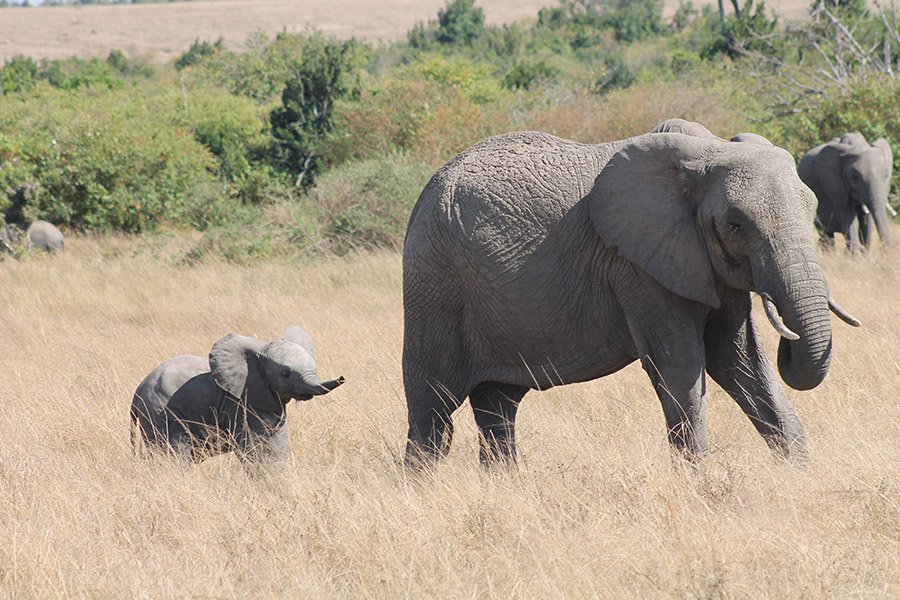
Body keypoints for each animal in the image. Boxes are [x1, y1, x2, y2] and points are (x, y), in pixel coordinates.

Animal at [131, 325, 344, 462]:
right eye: (285, 374)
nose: (342, 377)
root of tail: (136, 393)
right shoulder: (241, 404)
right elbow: (259, 448)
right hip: (160, 413)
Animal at [402, 123, 860, 467]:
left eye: (812, 207)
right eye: (735, 224)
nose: (790, 339)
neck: (705, 154)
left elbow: (739, 359)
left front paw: (795, 473)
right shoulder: (637, 265)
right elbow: (681, 364)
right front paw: (699, 483)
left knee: (497, 407)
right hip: (434, 281)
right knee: (433, 414)